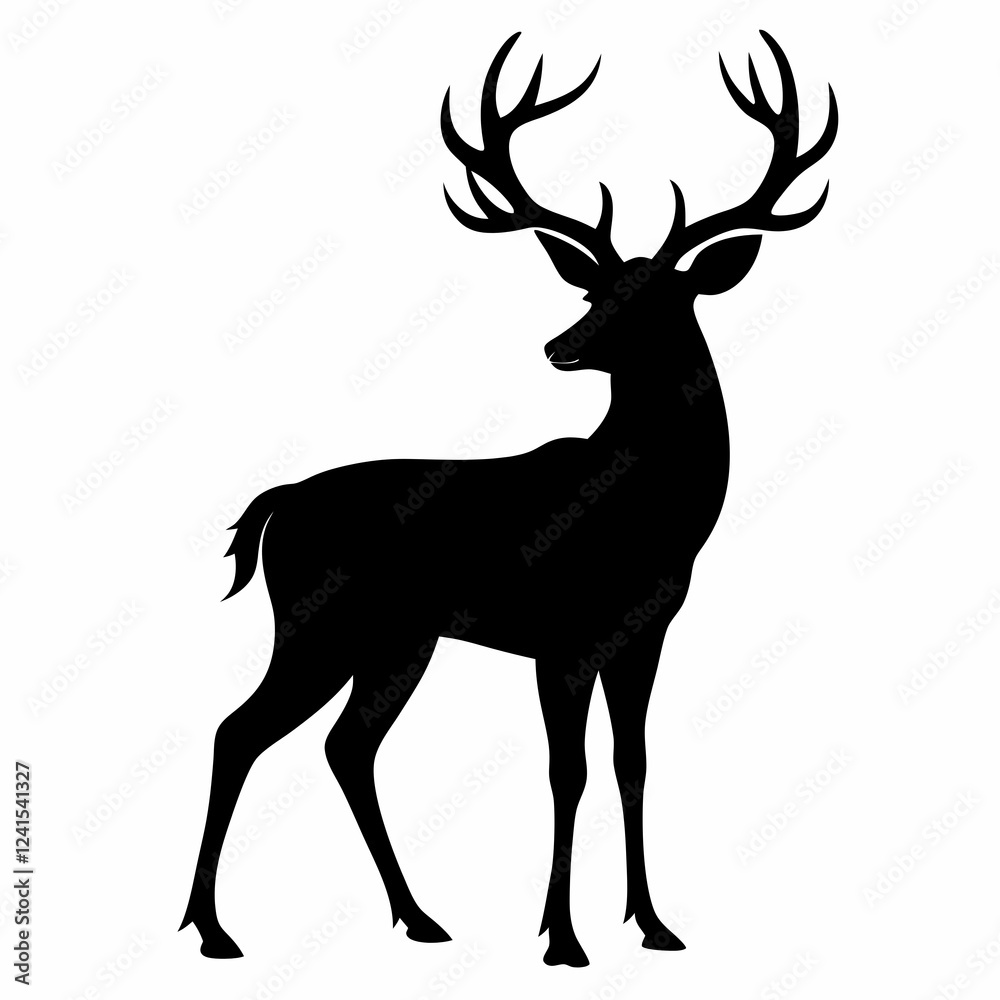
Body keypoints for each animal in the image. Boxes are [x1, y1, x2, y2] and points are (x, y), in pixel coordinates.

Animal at [179, 30, 837, 967]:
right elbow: (568, 772)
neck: (651, 514)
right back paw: (213, 929)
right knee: (239, 730)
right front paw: (561, 937)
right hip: (317, 620)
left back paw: (419, 916)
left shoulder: (644, 634)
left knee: (346, 746)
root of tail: (283, 500)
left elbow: (633, 763)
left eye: (663, 296)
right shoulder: (562, 637)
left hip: (397, 638)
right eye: (594, 289)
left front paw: (654, 924)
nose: (561, 345)